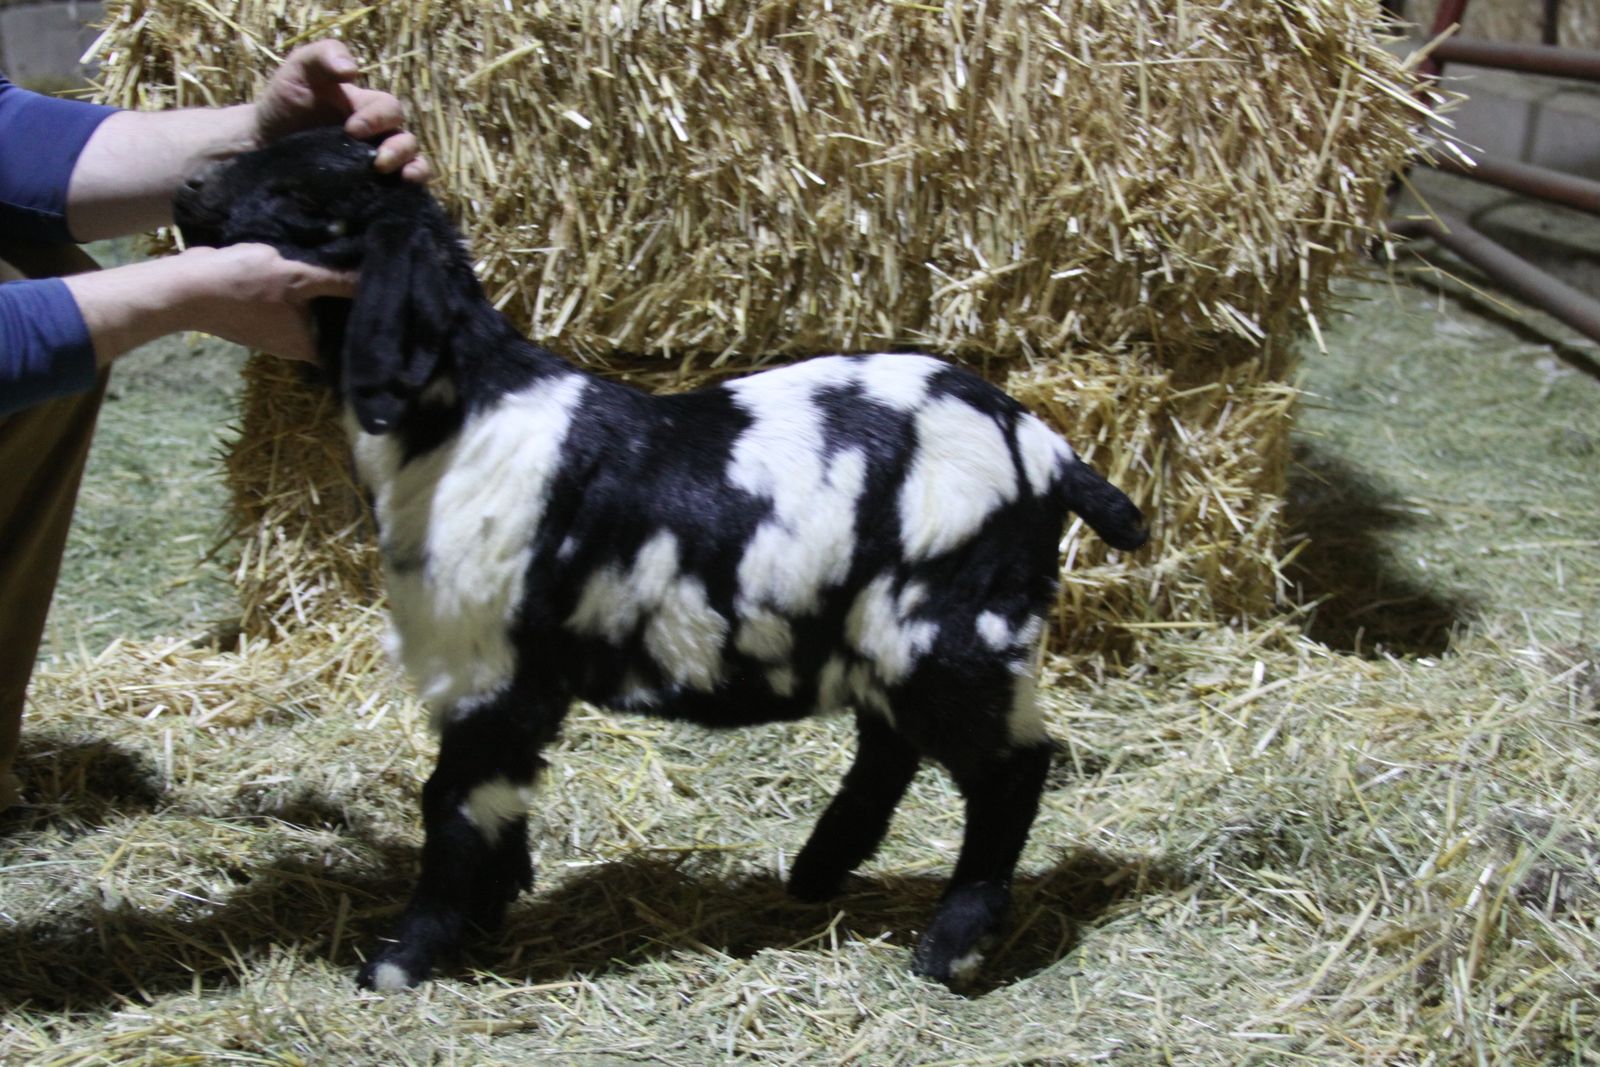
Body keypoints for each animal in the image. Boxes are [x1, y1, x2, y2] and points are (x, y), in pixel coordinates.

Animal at [174, 127, 1149, 992]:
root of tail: (1044, 446)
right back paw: (818, 870)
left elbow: (452, 805)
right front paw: (488, 915)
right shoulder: (512, 687)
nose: (186, 188)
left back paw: (952, 947)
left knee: (1012, 766)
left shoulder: (488, 666)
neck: (459, 414)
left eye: (301, 197)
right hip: (882, 630)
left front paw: (404, 958)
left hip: (949, 628)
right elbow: (498, 804)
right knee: (891, 743)